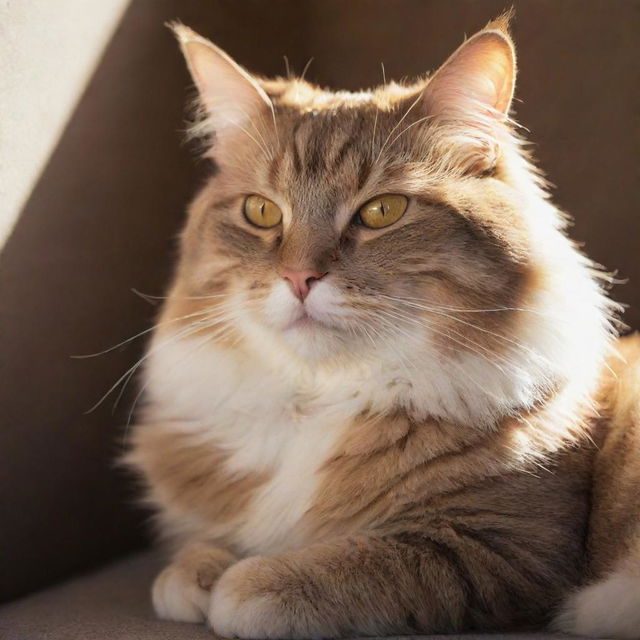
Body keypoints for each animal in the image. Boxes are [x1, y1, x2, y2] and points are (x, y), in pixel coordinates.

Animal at [126, 15, 640, 640]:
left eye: (381, 212)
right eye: (261, 212)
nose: (299, 277)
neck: (320, 399)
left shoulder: (508, 547)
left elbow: (363, 563)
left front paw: (247, 583)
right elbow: (199, 548)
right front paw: (196, 571)